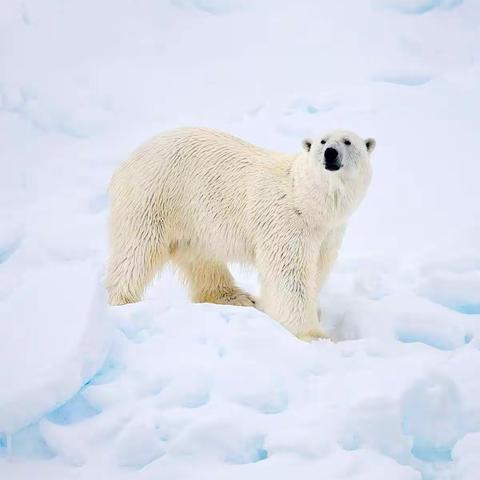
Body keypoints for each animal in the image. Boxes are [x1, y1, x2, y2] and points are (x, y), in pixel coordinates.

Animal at [105, 125, 376, 340]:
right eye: (322, 141)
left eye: (347, 141)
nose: (330, 153)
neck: (305, 200)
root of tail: (127, 160)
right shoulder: (286, 223)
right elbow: (290, 276)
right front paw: (312, 334)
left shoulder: (328, 234)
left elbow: (317, 270)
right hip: (155, 196)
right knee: (137, 250)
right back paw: (123, 301)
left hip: (193, 217)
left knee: (200, 257)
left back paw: (236, 297)